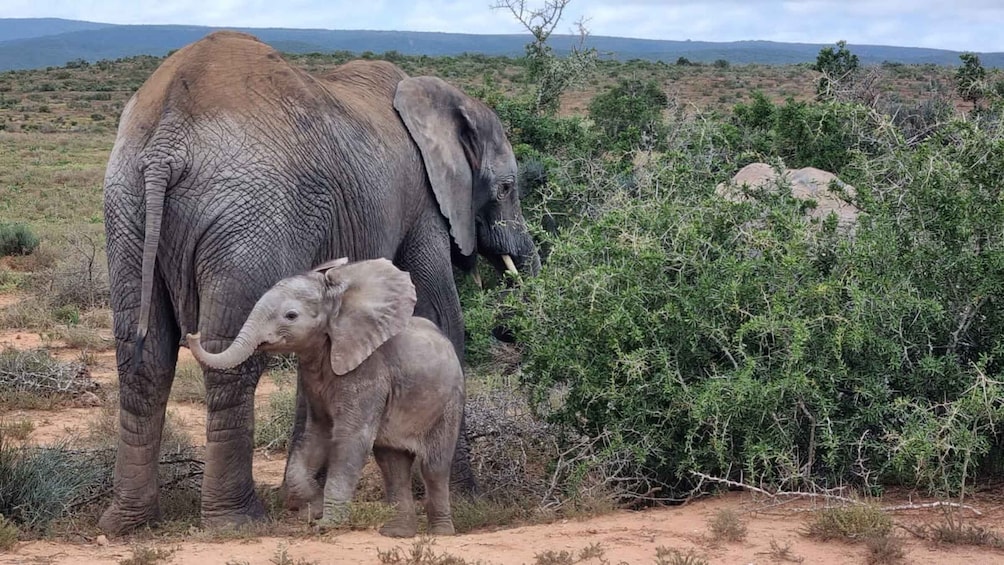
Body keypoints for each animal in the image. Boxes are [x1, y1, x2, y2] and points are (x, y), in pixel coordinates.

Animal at [187, 258, 461, 537]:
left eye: (291, 316)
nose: (192, 334)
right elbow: (318, 433)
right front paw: (314, 508)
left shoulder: (368, 372)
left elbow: (350, 438)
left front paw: (326, 524)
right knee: (393, 465)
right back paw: (396, 533)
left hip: (449, 403)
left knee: (434, 466)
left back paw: (440, 533)